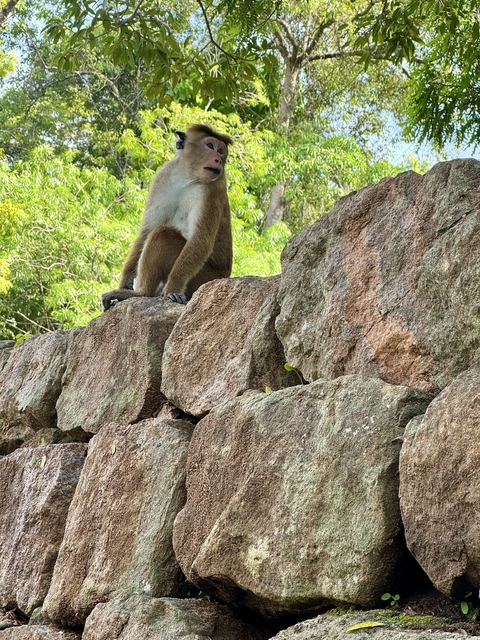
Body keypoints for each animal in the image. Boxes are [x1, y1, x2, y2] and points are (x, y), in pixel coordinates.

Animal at [101, 123, 233, 310]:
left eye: (221, 151)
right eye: (210, 146)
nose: (218, 160)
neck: (188, 176)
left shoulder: (213, 189)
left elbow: (201, 239)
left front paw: (173, 287)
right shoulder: (163, 176)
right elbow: (147, 230)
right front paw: (125, 282)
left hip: (204, 277)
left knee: (162, 234)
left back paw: (143, 293)